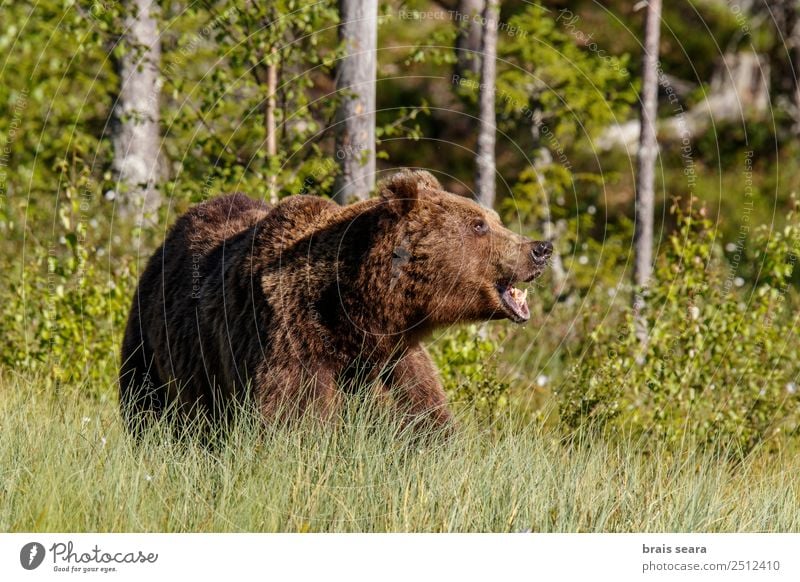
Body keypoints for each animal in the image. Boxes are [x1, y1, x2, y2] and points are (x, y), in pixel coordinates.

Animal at [119, 169, 552, 434]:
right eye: (478, 224)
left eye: (494, 218)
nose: (541, 248)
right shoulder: (293, 342)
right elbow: (295, 421)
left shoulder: (394, 362)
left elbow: (422, 419)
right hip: (152, 351)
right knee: (147, 411)